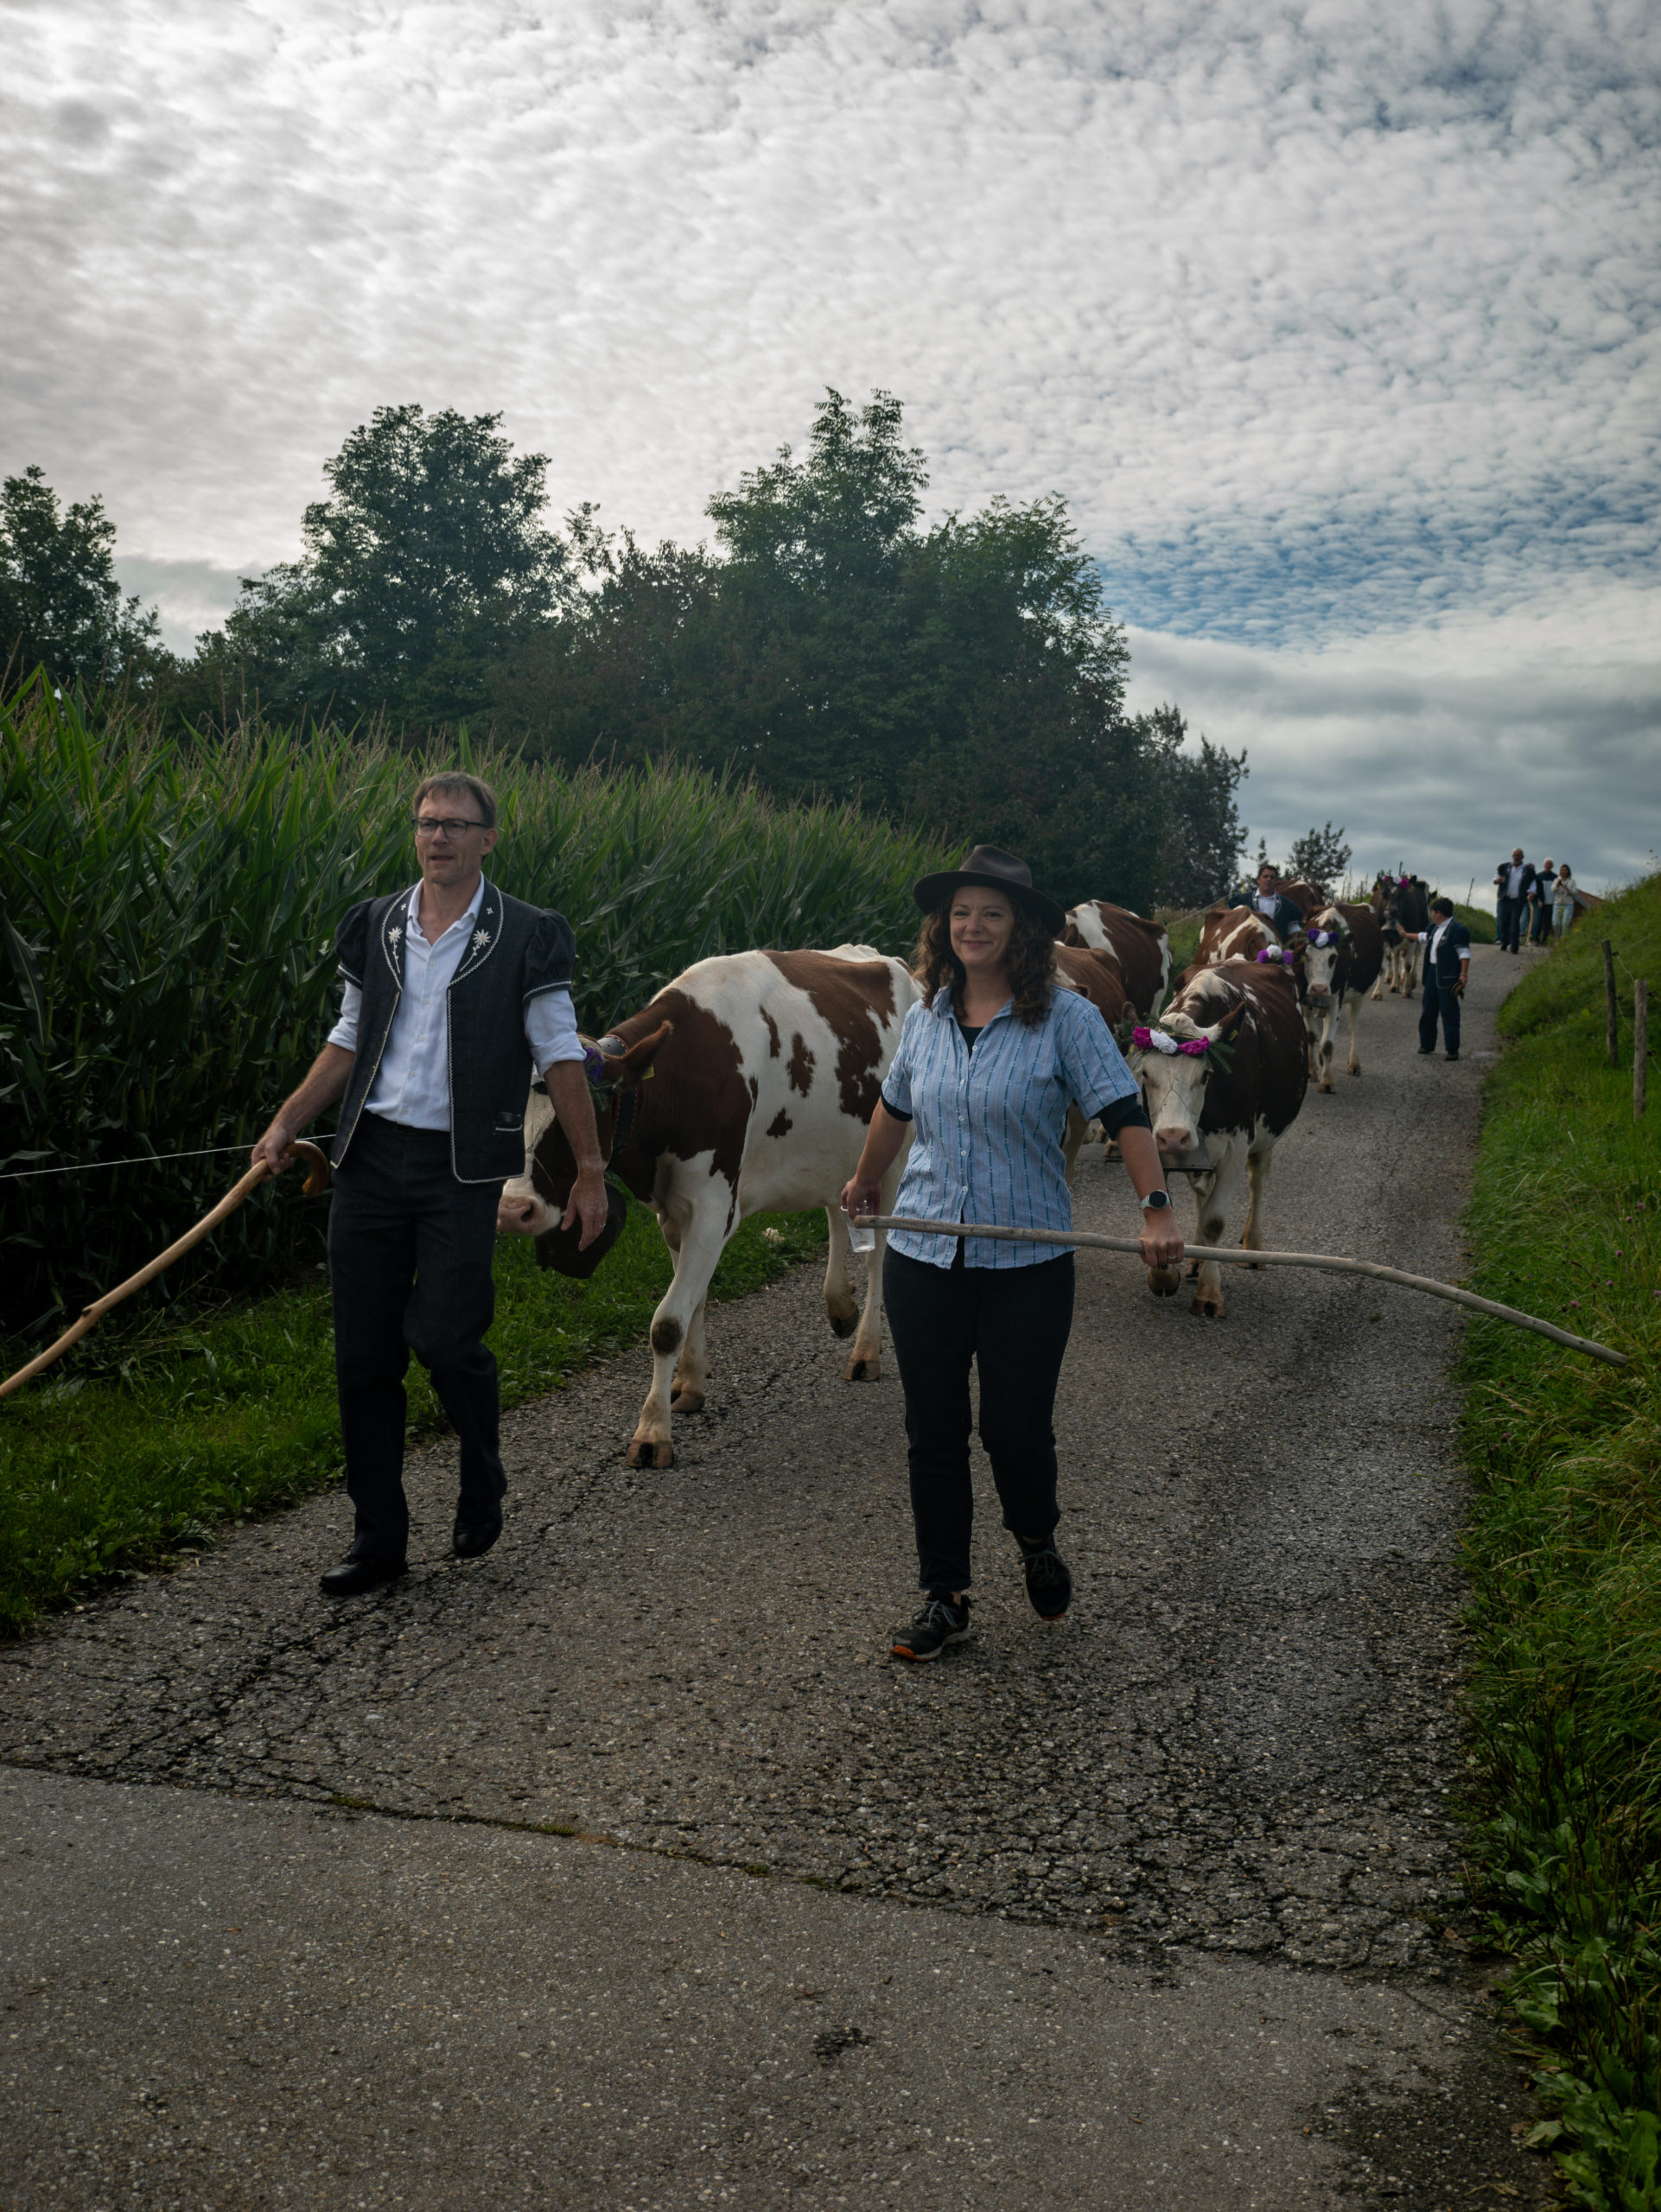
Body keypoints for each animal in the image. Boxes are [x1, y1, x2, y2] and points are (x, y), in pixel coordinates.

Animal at [497, 946, 920, 1468]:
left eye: (579, 1119)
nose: (514, 1209)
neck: (679, 1078)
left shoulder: (713, 1208)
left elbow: (667, 1323)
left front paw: (653, 1431)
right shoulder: (671, 1210)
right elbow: (693, 1301)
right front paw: (689, 1385)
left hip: (893, 1161)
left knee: (880, 1253)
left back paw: (866, 1349)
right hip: (835, 1150)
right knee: (836, 1210)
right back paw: (839, 1303)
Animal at [1125, 959, 1308, 1317]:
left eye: (1206, 1075)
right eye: (1146, 1074)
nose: (1174, 1136)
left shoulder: (1237, 1146)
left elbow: (1214, 1220)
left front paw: (1209, 1294)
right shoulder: (1157, 1143)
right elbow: (1160, 1204)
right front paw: (1163, 1274)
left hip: (1267, 1136)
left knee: (1257, 1180)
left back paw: (1252, 1245)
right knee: (1202, 1193)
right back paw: (1196, 1258)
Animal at [1300, 904, 1385, 1091]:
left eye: (1333, 957)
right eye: (1306, 956)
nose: (1319, 988)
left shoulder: (1335, 1002)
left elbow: (1327, 1044)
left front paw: (1326, 1081)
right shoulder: (1305, 1003)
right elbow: (1311, 1036)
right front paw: (1312, 1071)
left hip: (1359, 996)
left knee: (1354, 1026)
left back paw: (1354, 1063)